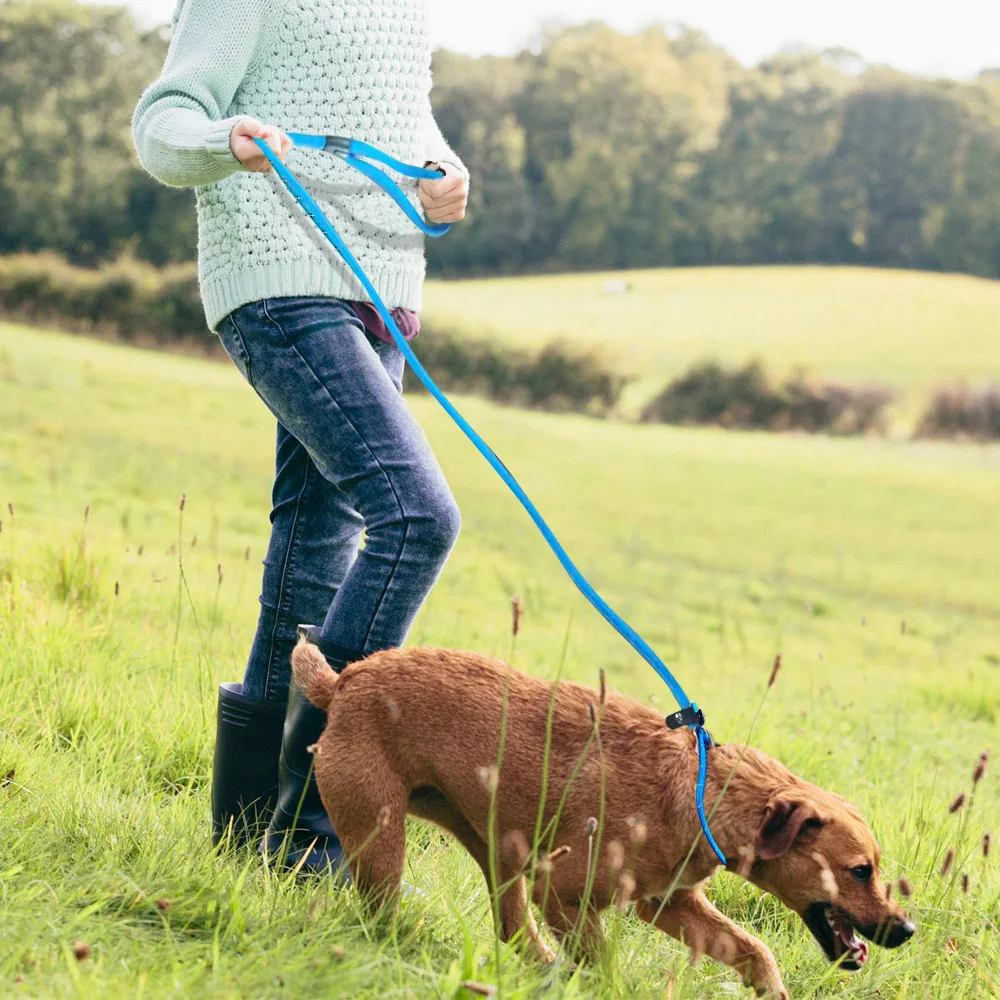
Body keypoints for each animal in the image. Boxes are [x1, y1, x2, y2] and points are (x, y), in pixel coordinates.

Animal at [290, 644, 916, 996]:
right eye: (859, 871)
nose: (907, 930)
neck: (698, 791)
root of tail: (343, 681)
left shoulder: (671, 904)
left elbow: (753, 950)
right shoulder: (563, 894)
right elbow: (605, 966)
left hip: (496, 848)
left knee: (514, 932)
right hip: (383, 842)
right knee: (381, 918)